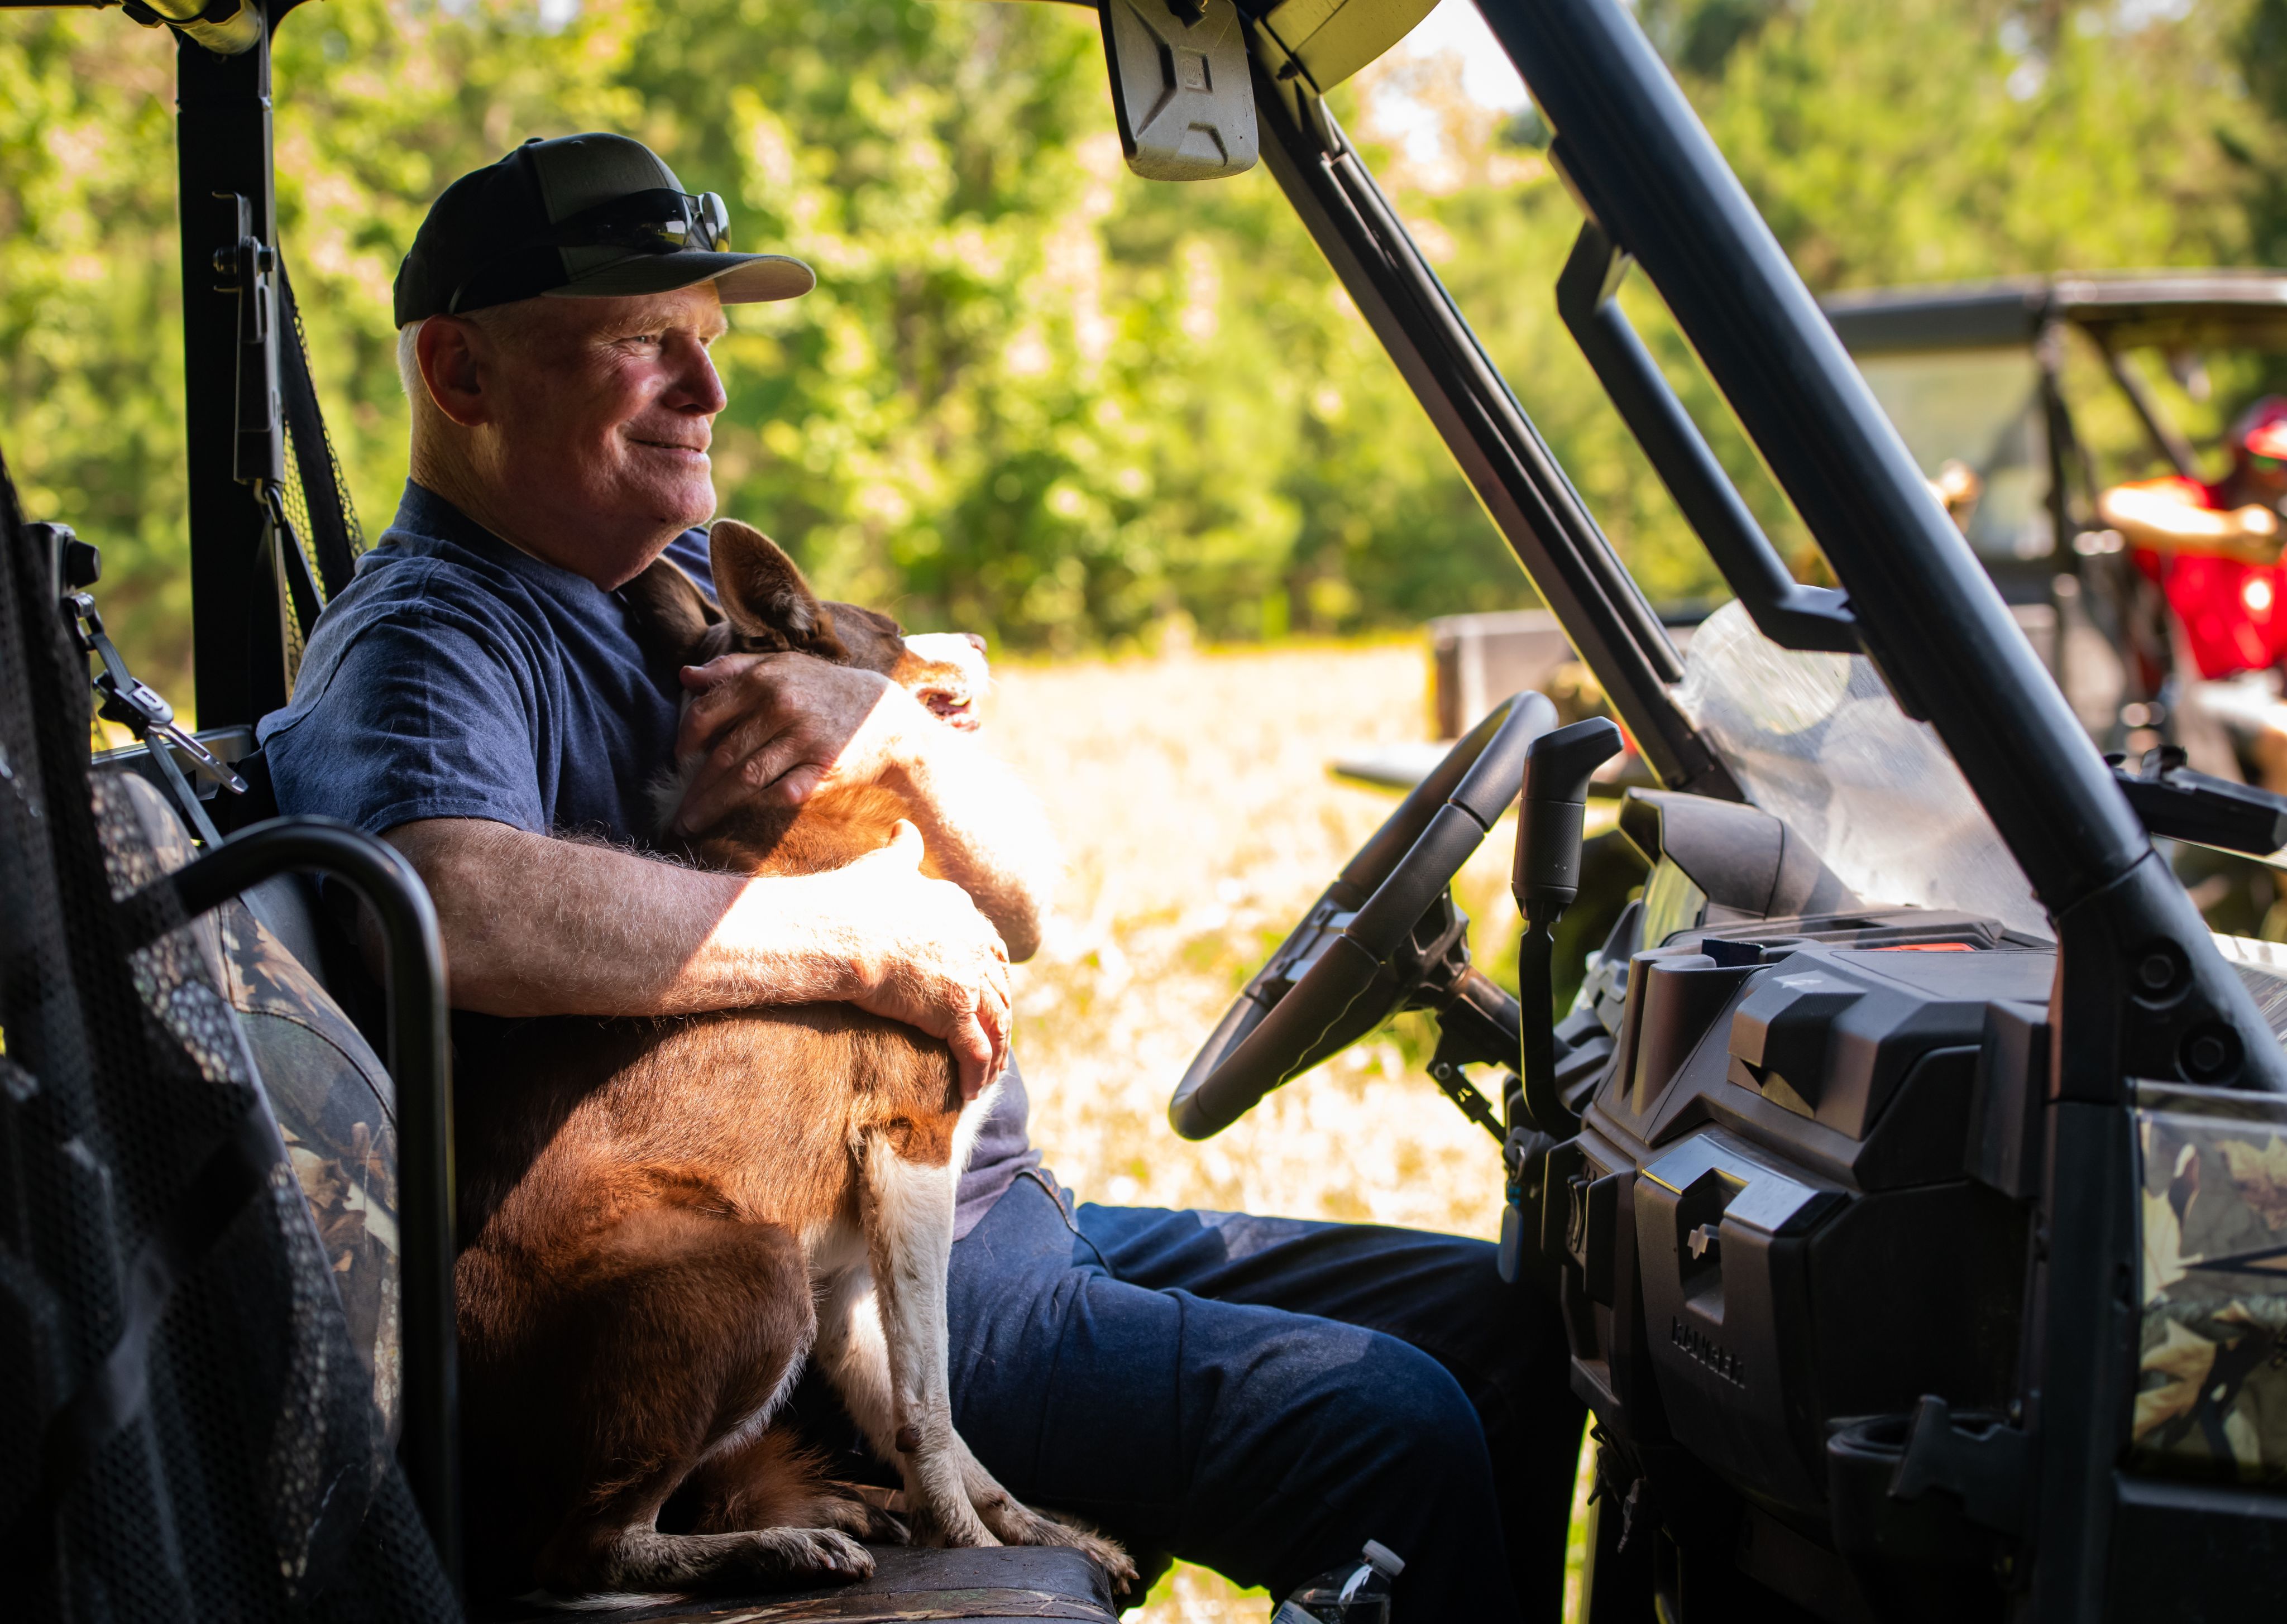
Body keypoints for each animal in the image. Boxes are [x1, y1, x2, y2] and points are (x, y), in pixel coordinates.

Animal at [450, 519, 1130, 1601]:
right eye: (889, 628)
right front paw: (974, 1554)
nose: (982, 636)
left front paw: (1029, 1531)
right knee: (588, 1550)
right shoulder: (911, 1150)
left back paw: (839, 1509)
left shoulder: (853, 1259)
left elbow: (925, 1418)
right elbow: (931, 1402)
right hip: (757, 1271)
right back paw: (776, 1544)